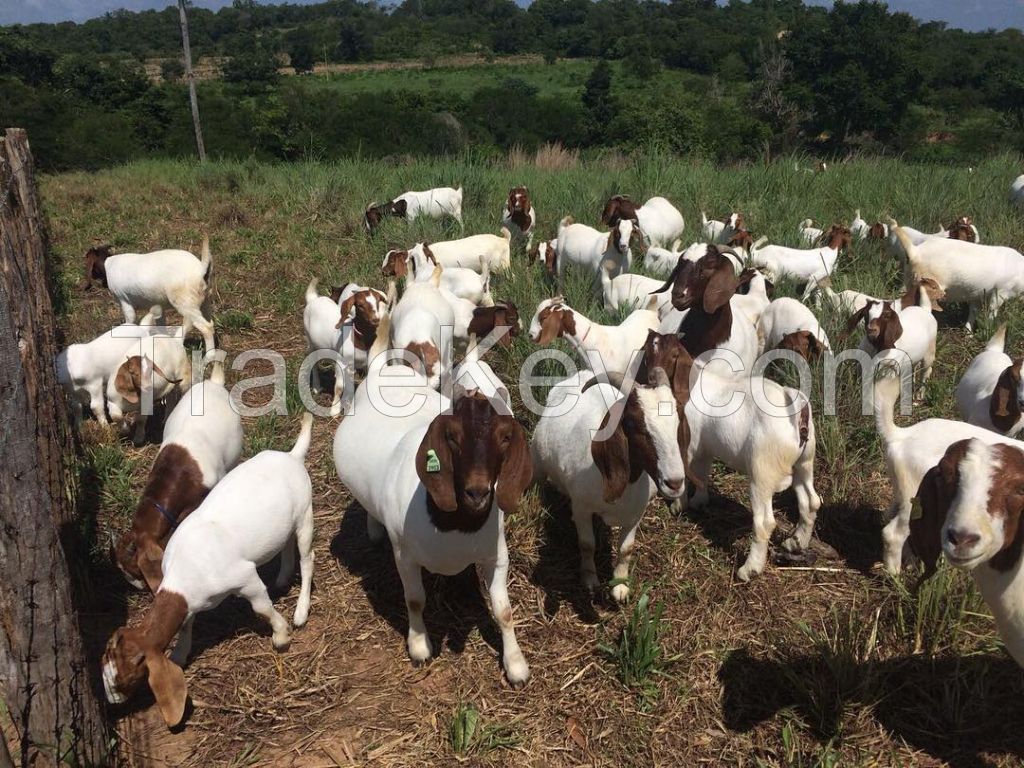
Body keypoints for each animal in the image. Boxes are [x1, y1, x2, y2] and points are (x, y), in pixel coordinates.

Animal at [102, 415, 315, 729]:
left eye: (122, 679)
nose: (111, 703)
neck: (185, 573)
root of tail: (292, 456)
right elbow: (186, 625)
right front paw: (180, 653)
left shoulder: (245, 578)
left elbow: (262, 608)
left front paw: (281, 634)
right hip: (287, 523)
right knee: (287, 546)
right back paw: (282, 578)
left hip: (305, 515)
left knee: (307, 558)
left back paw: (301, 611)